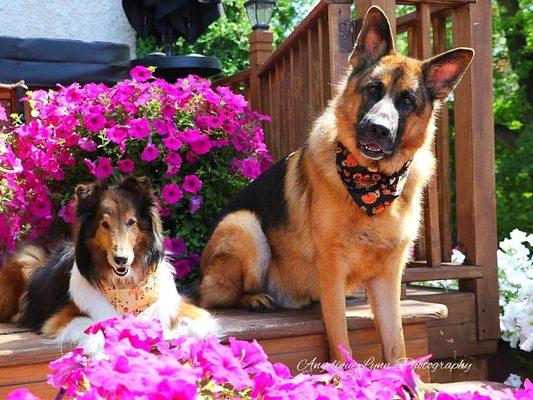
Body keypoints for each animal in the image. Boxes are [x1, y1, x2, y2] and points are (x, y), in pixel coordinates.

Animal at [1, 175, 216, 354]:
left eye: (131, 222)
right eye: (105, 224)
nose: (121, 259)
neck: (126, 287)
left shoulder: (183, 310)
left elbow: (198, 326)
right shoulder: (61, 318)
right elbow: (97, 327)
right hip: (25, 260)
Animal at [197, 5, 472, 362]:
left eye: (407, 101)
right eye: (373, 89)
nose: (378, 130)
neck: (371, 183)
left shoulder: (387, 277)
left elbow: (396, 341)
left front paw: (406, 375)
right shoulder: (332, 269)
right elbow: (340, 333)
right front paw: (344, 370)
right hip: (243, 226)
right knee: (217, 297)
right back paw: (255, 299)